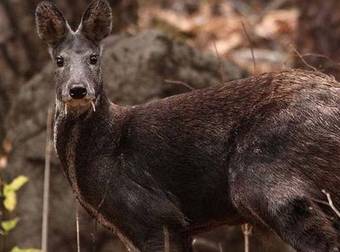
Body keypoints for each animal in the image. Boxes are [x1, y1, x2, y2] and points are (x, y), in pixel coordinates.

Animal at [35, 0, 340, 252]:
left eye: (94, 58)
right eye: (59, 60)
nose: (77, 90)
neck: (105, 146)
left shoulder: (155, 215)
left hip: (263, 174)